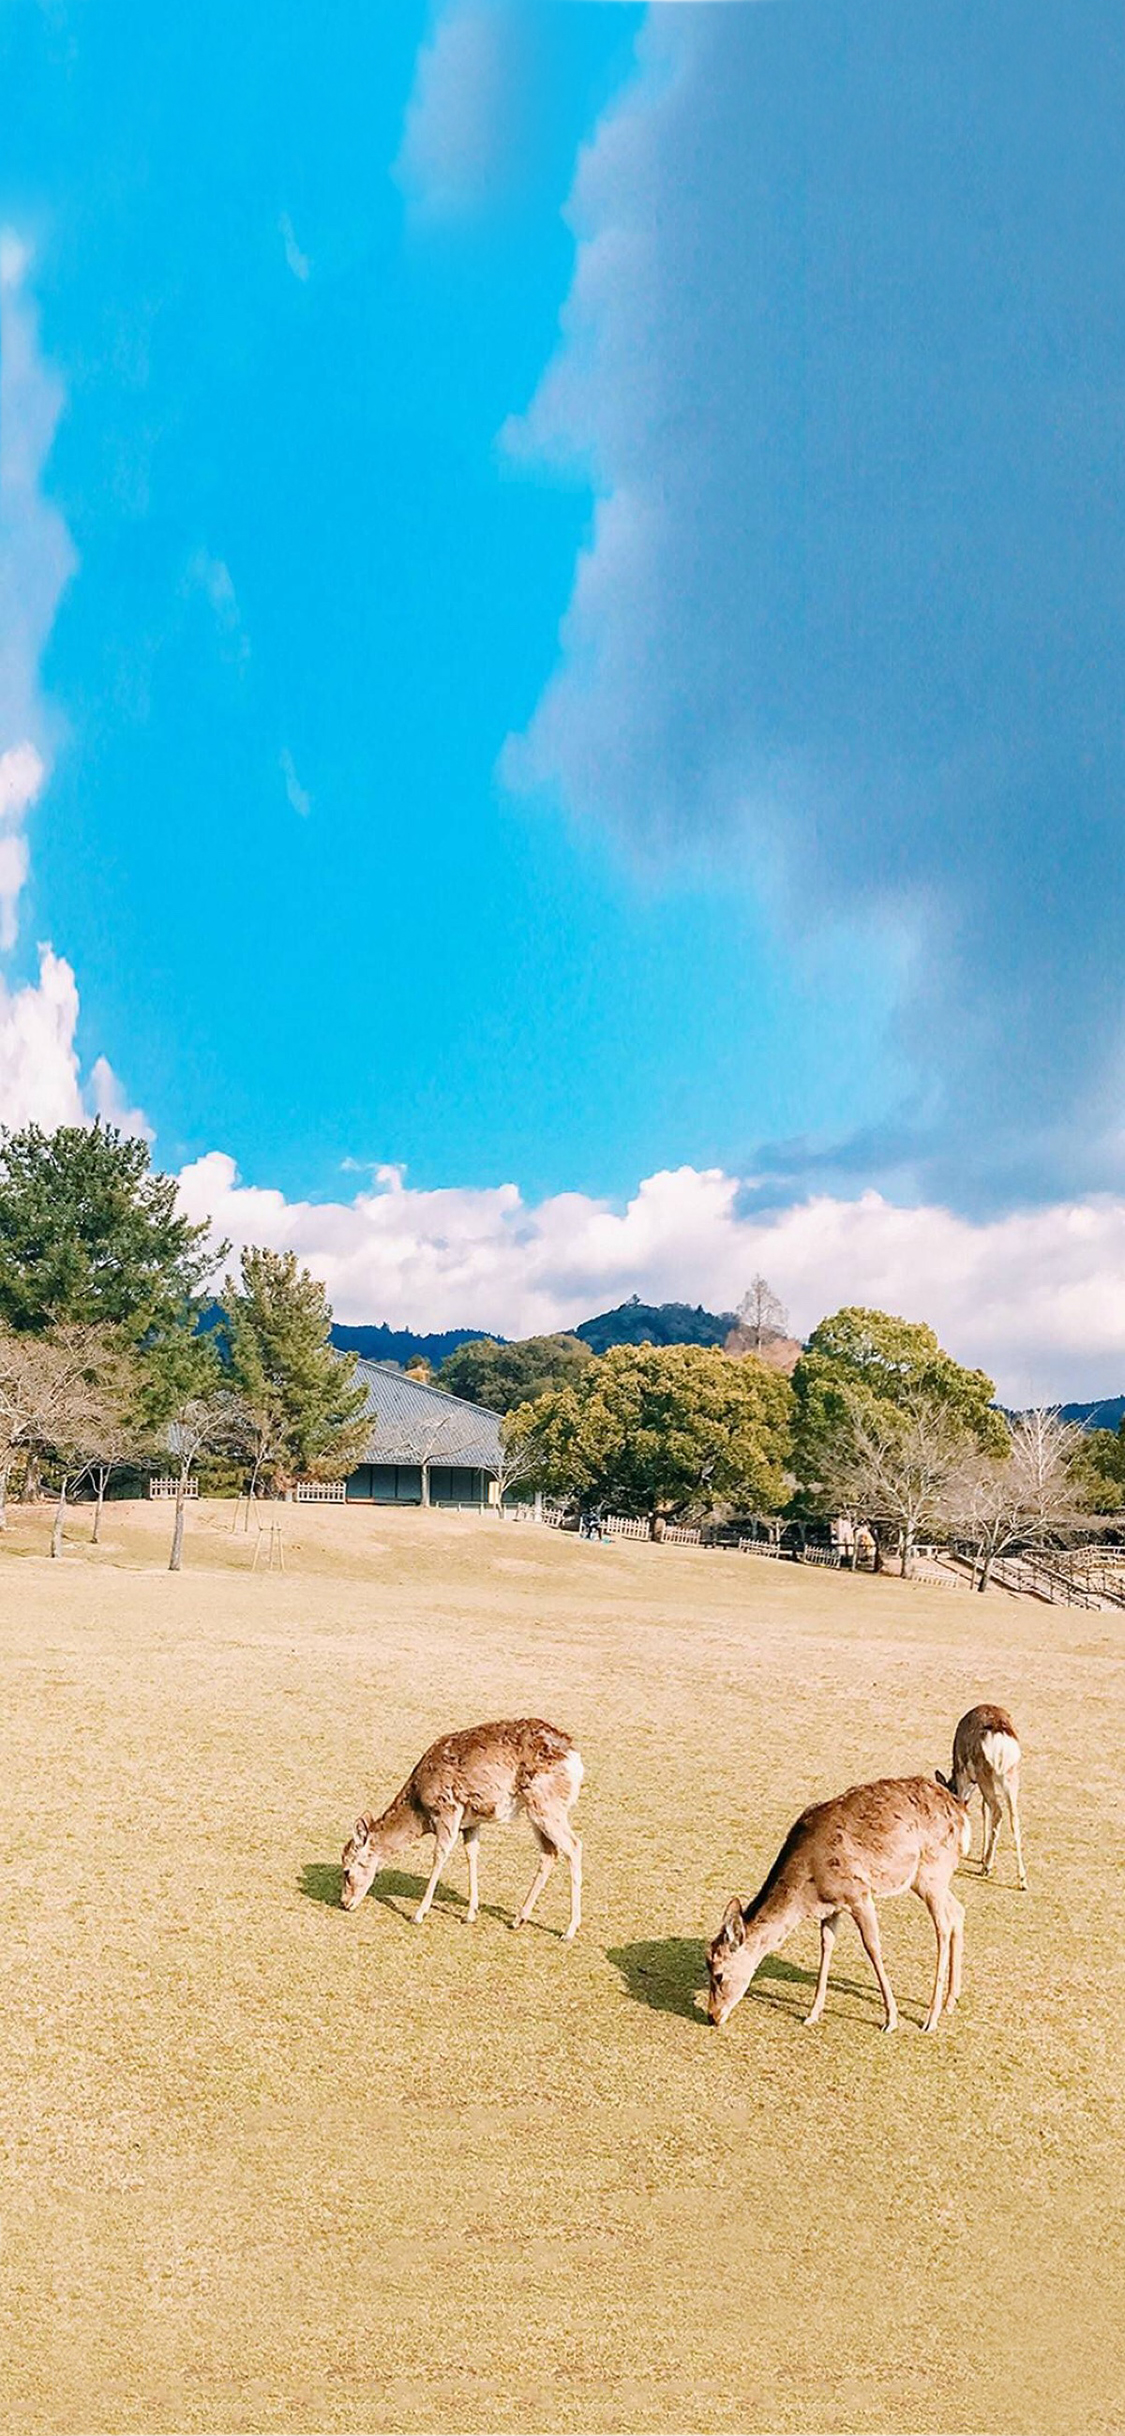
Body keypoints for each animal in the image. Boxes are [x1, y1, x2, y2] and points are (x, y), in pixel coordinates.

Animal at [340, 1717, 584, 1939]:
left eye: (347, 1871)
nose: (344, 1903)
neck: (420, 1808)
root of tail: (575, 1759)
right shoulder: (471, 1822)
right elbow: (471, 1853)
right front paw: (470, 1914)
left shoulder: (447, 1809)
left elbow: (440, 1854)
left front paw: (418, 1914)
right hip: (538, 1810)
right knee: (549, 1852)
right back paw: (517, 1919)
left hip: (546, 1804)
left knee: (573, 1845)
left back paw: (569, 1930)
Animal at [705, 1775, 972, 2036]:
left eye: (719, 1974)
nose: (712, 2016)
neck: (807, 1892)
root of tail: (962, 1815)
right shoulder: (831, 1908)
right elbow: (826, 1945)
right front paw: (812, 2014)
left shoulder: (859, 1894)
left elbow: (872, 1947)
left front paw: (891, 2019)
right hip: (925, 1880)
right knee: (958, 1910)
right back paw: (951, 2001)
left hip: (932, 1872)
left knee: (943, 1926)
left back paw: (931, 2018)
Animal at [937, 1703, 1027, 1889]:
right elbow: (984, 1809)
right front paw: (981, 1856)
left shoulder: (964, 1777)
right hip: (1010, 1776)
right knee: (1013, 1817)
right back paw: (1022, 1880)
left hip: (986, 1775)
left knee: (998, 1812)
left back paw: (987, 1867)